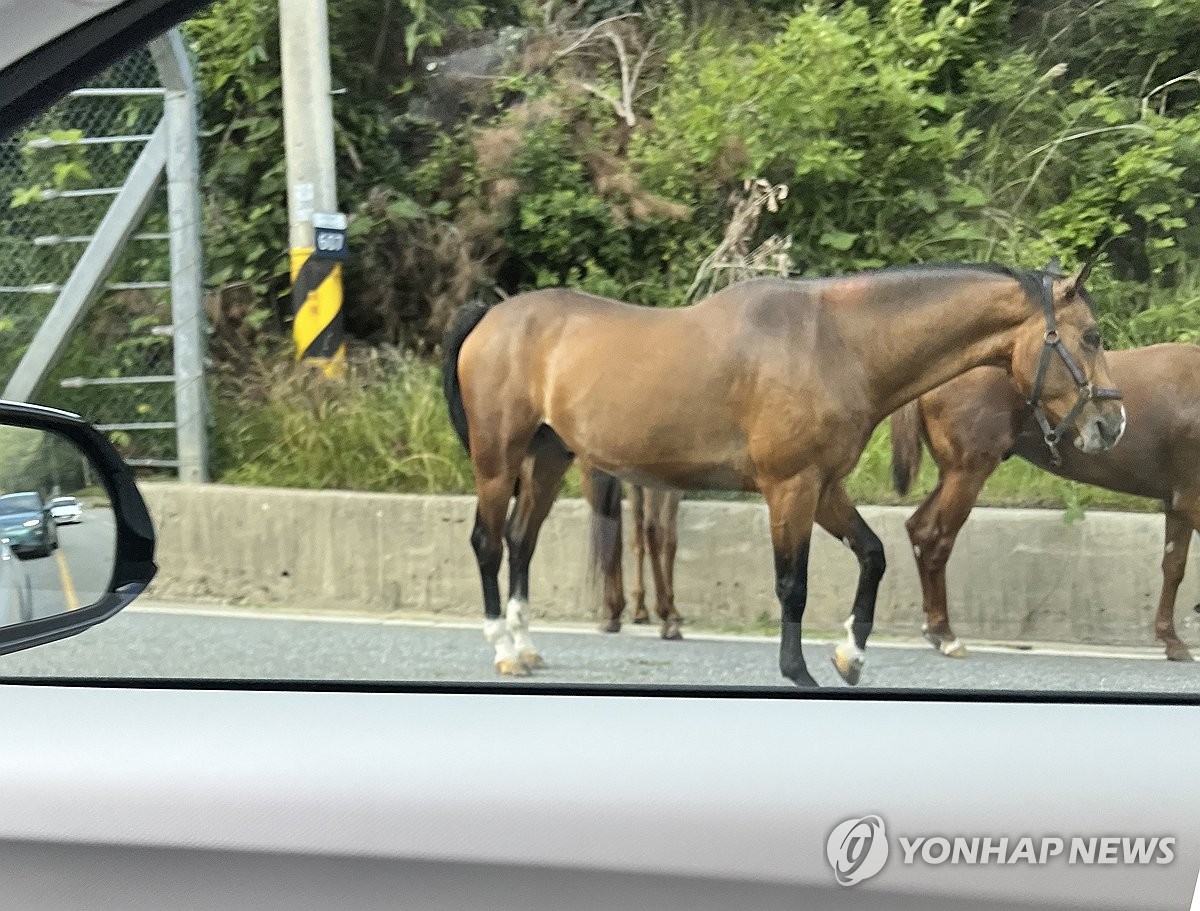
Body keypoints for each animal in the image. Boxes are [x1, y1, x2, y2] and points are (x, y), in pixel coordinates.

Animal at [441, 260, 1123, 686]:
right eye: (1090, 336)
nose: (1111, 425)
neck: (837, 344)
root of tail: (490, 317)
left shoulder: (823, 487)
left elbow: (872, 554)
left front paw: (851, 655)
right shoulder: (789, 487)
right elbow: (792, 584)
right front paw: (800, 671)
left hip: (549, 458)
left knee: (522, 541)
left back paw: (526, 647)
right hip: (497, 458)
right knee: (486, 542)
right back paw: (502, 650)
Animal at [888, 340, 1200, 662]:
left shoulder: (1177, 501)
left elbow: (1173, 566)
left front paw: (1171, 639)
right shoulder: (1192, 500)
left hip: (952, 473)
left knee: (919, 528)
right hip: (967, 473)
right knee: (937, 539)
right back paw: (943, 632)